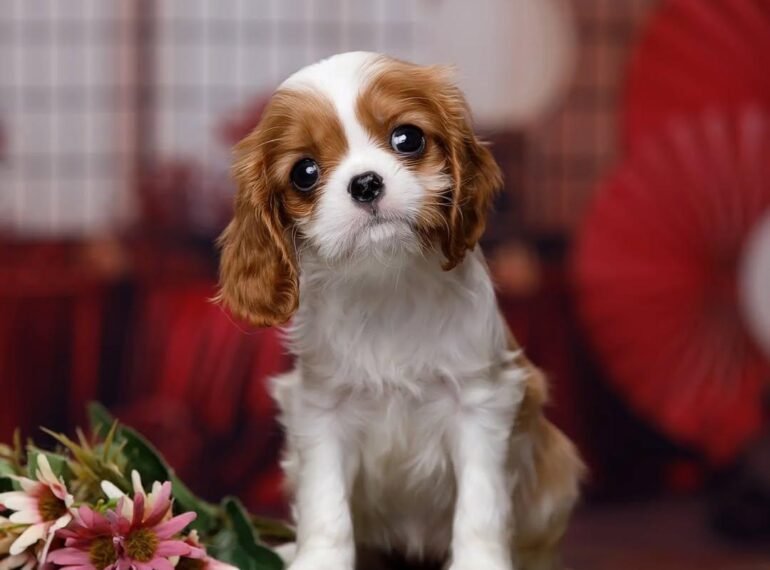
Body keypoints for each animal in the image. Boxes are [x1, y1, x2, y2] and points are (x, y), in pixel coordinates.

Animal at [217, 52, 584, 570]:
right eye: (304, 172)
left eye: (407, 138)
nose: (366, 184)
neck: (384, 282)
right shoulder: (322, 411)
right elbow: (326, 505)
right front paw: (319, 560)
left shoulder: (480, 404)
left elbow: (480, 506)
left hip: (556, 471)